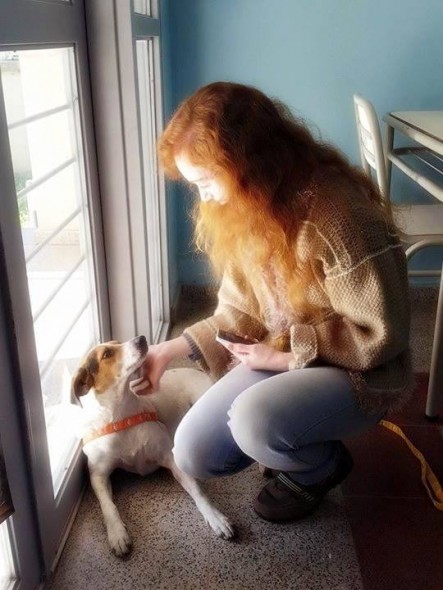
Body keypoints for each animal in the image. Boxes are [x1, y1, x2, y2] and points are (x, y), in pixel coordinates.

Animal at [72, 336, 236, 556]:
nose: (140, 338)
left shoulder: (169, 457)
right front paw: (117, 533)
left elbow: (197, 489)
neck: (121, 416)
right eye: (107, 354)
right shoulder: (98, 475)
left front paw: (215, 517)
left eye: (116, 342)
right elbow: (108, 505)